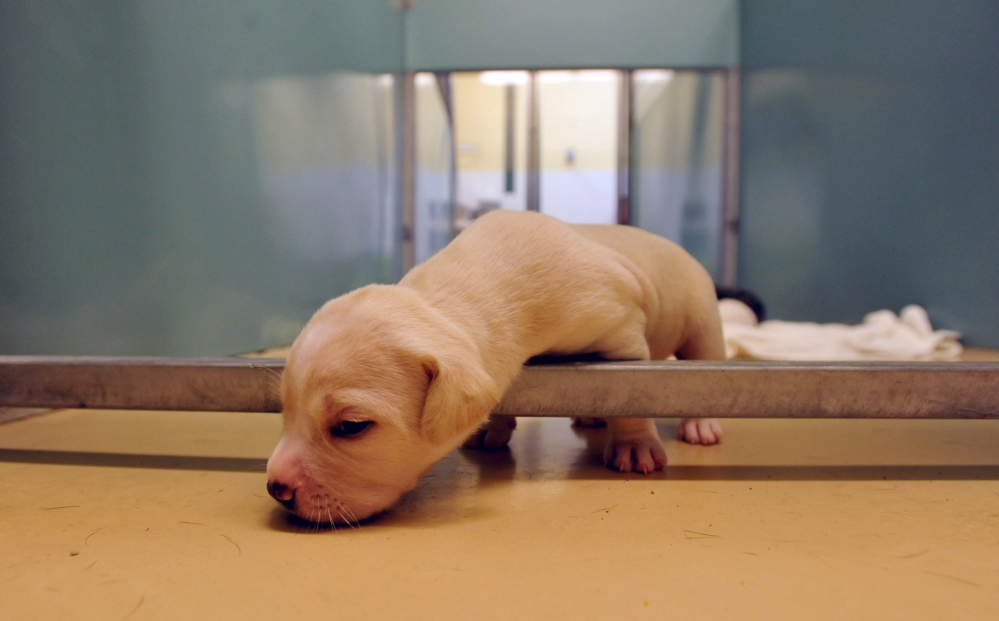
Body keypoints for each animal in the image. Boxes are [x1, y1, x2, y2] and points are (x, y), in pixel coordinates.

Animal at [270, 209, 724, 524]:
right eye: (284, 408)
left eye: (351, 427)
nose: (276, 489)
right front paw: (492, 430)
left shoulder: (622, 329)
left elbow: (630, 394)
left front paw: (634, 446)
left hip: (701, 313)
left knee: (706, 355)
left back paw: (700, 424)